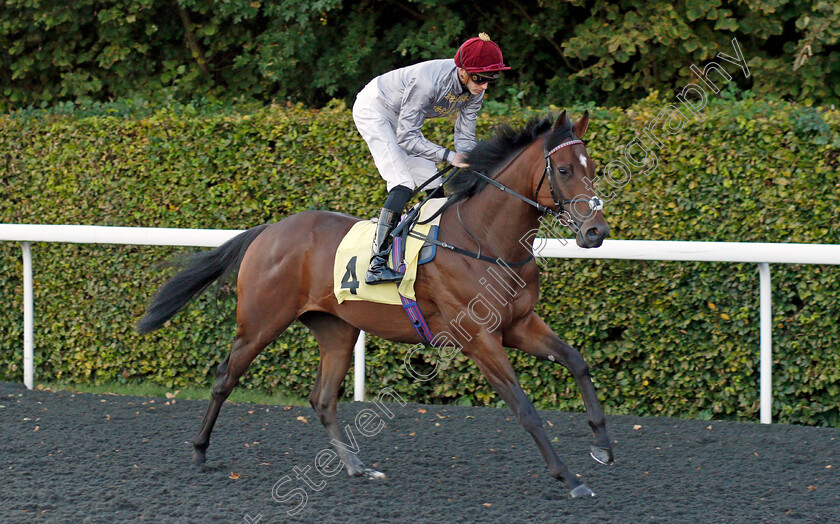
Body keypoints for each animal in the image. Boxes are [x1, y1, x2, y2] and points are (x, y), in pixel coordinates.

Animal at [136, 111, 612, 500]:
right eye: (564, 170)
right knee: (225, 378)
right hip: (260, 323)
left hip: (337, 329)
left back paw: (357, 467)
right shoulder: (479, 338)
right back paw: (199, 452)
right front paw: (569, 478)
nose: (596, 232)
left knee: (322, 399)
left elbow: (577, 360)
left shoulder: (519, 324)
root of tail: (270, 228)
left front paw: (602, 446)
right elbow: (525, 408)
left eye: (593, 169)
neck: (483, 239)